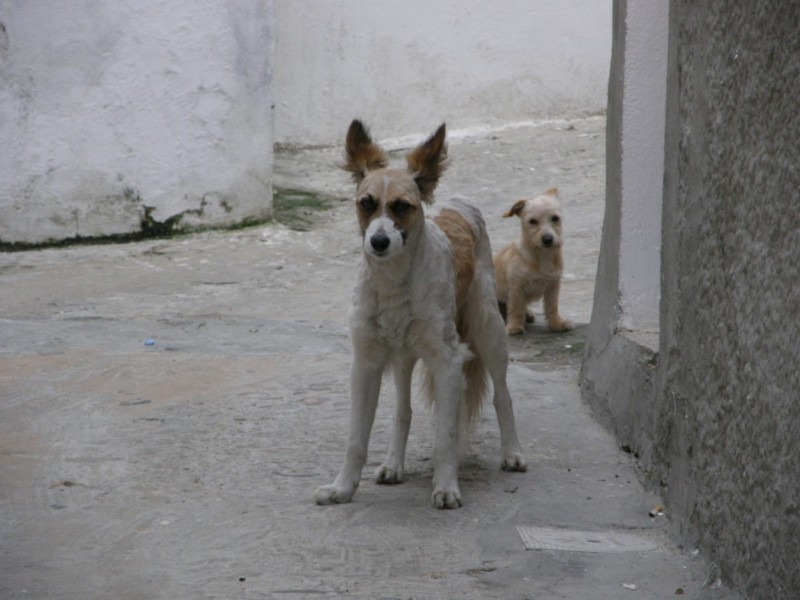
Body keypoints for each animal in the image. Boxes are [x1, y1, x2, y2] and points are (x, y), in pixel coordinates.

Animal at [490, 189, 572, 332]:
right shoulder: (516, 288)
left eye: (555, 218)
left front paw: (556, 323)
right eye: (532, 221)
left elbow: (552, 306)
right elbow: (516, 308)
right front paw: (515, 326)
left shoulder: (553, 286)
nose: (547, 239)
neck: (542, 256)